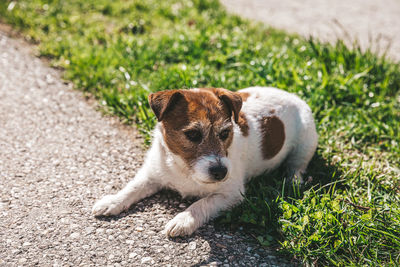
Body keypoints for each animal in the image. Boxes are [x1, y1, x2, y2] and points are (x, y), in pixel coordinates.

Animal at [92, 87, 318, 238]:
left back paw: (293, 181)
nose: (221, 172)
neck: (184, 169)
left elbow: (202, 203)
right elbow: (133, 187)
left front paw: (183, 219)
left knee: (298, 165)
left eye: (225, 133)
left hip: (307, 141)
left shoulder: (231, 194)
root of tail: (292, 95)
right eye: (192, 134)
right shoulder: (152, 174)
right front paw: (112, 201)